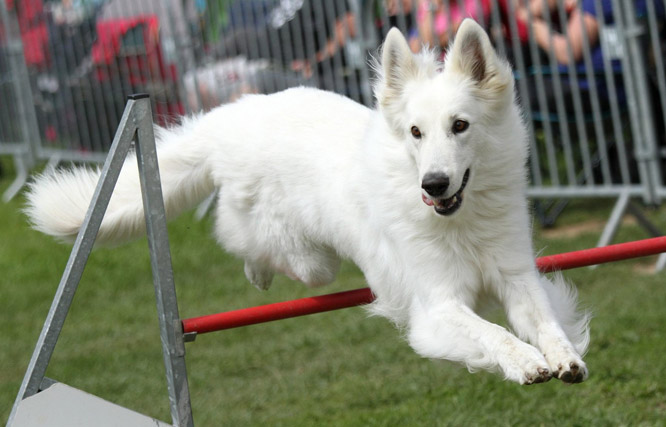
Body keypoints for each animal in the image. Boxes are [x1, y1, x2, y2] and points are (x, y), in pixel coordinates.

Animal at [26, 20, 588, 384]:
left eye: (461, 126)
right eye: (415, 132)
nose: (432, 184)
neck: (462, 222)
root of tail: (232, 116)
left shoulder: (516, 277)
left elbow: (547, 323)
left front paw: (563, 358)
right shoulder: (437, 306)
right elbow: (491, 333)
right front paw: (525, 362)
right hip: (308, 259)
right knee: (242, 238)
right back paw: (256, 272)